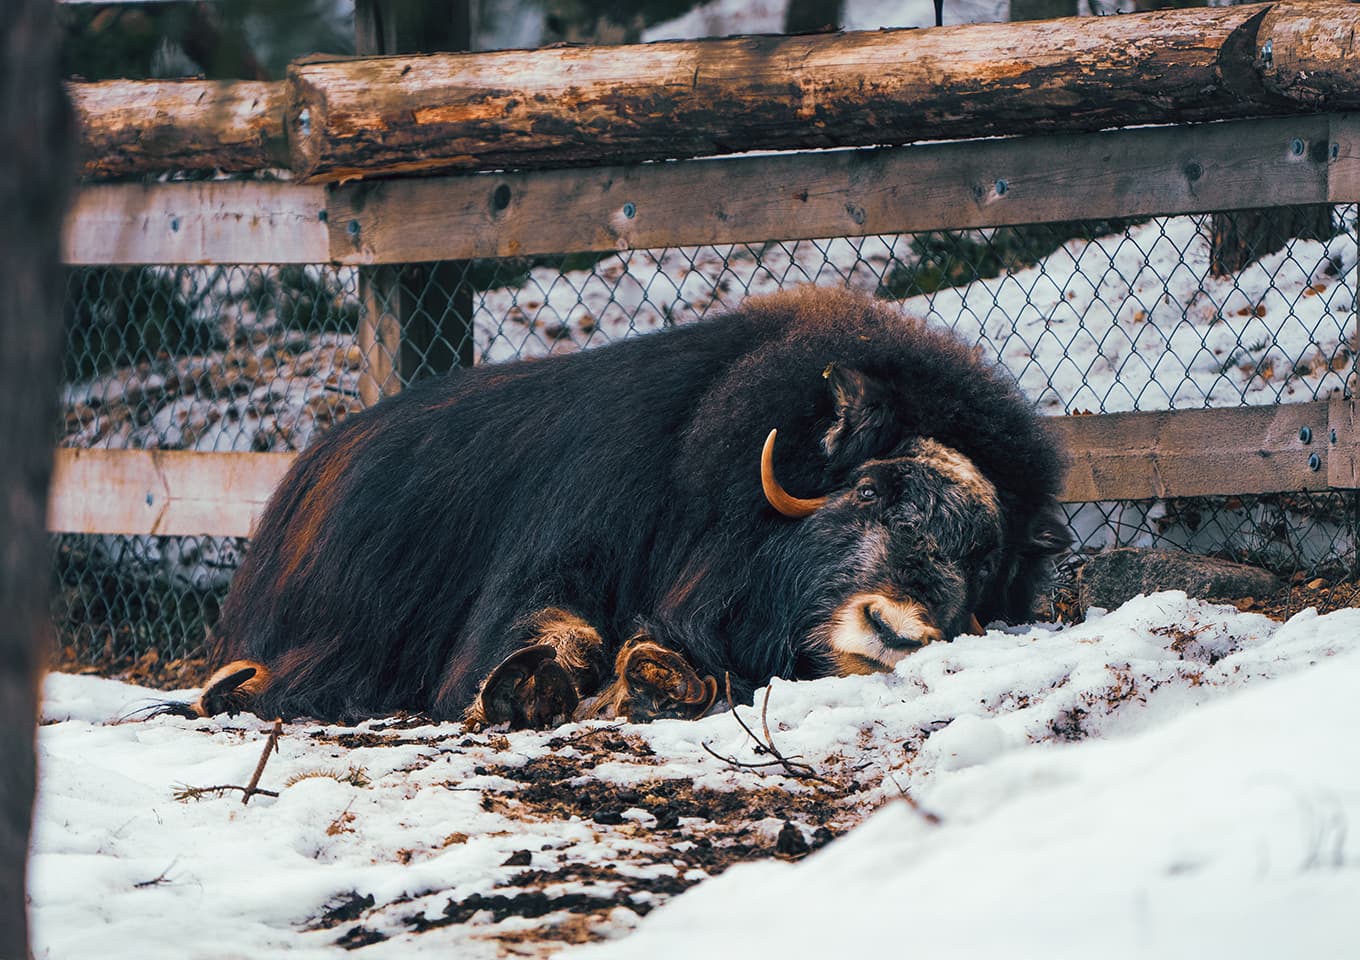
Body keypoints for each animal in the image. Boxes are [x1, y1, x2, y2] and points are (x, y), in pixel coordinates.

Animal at [178, 286, 1069, 727]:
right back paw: (231, 688)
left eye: (983, 554)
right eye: (874, 489)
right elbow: (551, 628)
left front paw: (654, 676)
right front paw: (527, 686)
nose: (900, 632)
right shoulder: (565, 544)